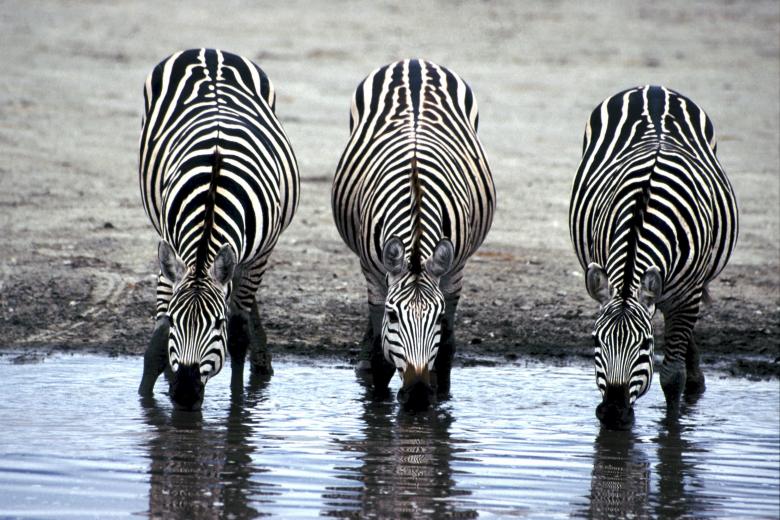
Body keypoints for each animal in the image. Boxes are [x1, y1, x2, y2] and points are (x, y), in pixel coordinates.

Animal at [137, 49, 299, 410]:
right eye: (176, 321)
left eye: (217, 324)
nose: (185, 394)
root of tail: (210, 51)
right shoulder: (170, 247)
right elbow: (157, 339)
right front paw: (148, 397)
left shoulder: (259, 256)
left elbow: (238, 335)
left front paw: (238, 405)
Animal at [332, 59, 495, 409]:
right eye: (394, 316)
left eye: (438, 318)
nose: (418, 393)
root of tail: (415, 62)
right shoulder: (372, 271)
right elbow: (381, 351)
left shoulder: (454, 269)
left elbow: (446, 349)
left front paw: (441, 396)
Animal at [570, 85, 738, 428]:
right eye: (595, 340)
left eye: (646, 345)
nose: (613, 413)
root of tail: (653, 88)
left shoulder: (687, 296)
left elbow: (672, 377)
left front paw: (672, 427)